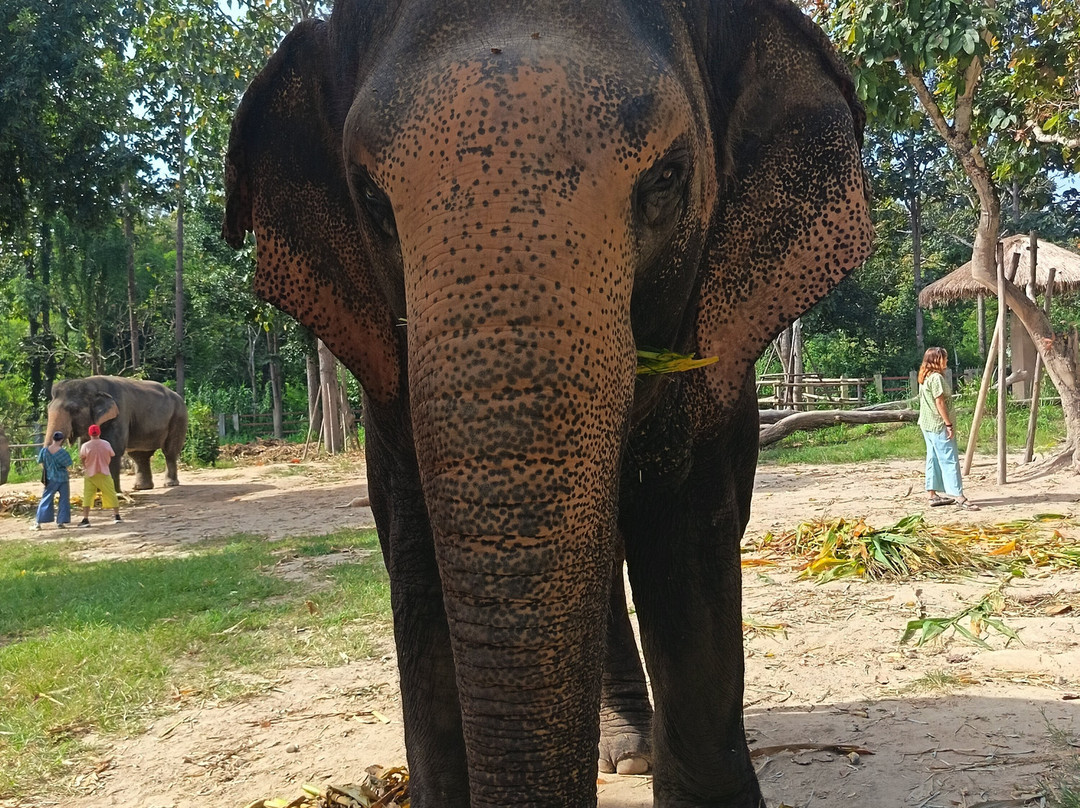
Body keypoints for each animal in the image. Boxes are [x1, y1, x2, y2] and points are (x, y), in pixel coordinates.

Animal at [45, 376, 188, 492]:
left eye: (74, 410)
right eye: (48, 408)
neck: (91, 383)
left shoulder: (120, 413)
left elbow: (113, 447)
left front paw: (112, 492)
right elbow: (86, 449)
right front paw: (97, 493)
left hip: (179, 417)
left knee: (169, 452)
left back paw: (170, 484)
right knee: (139, 456)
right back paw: (140, 487)